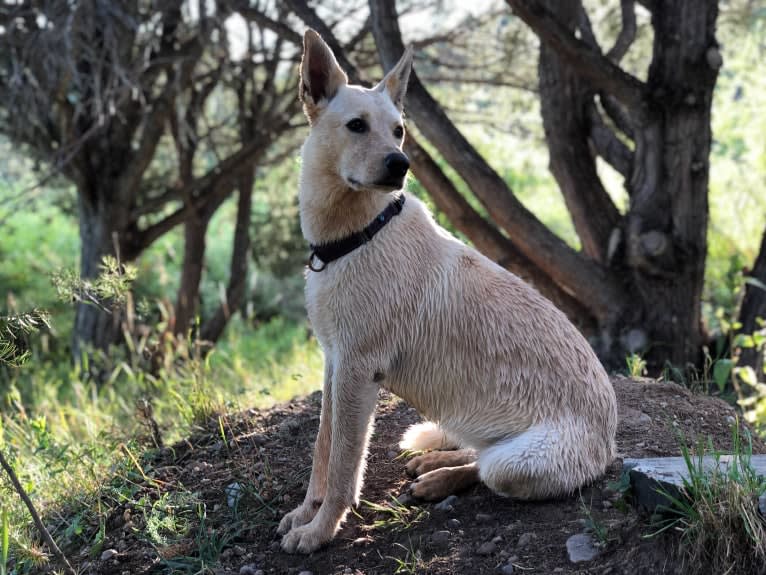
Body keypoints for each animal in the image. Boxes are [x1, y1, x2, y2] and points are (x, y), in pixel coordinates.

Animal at [276, 29, 616, 556]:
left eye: (398, 130)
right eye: (356, 126)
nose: (401, 164)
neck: (359, 235)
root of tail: (612, 441)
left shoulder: (357, 371)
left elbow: (344, 468)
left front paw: (320, 530)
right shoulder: (334, 362)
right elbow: (322, 450)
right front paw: (304, 513)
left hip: (516, 463)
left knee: (484, 467)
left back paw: (439, 479)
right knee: (472, 449)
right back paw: (433, 464)